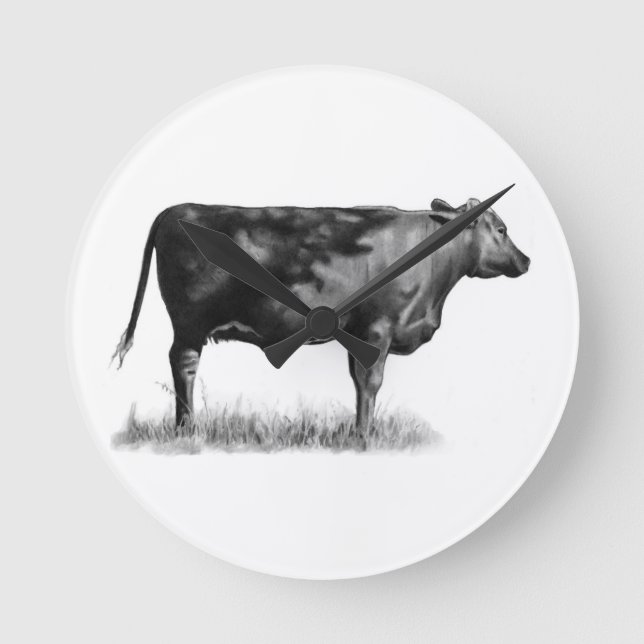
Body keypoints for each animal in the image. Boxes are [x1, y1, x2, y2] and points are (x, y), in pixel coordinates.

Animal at [113, 198, 530, 433]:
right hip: (189, 323)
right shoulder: (378, 329)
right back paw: (187, 429)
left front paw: (359, 432)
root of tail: (177, 210)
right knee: (183, 364)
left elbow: (358, 383)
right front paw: (365, 437)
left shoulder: (358, 333)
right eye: (501, 229)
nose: (526, 260)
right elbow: (371, 382)